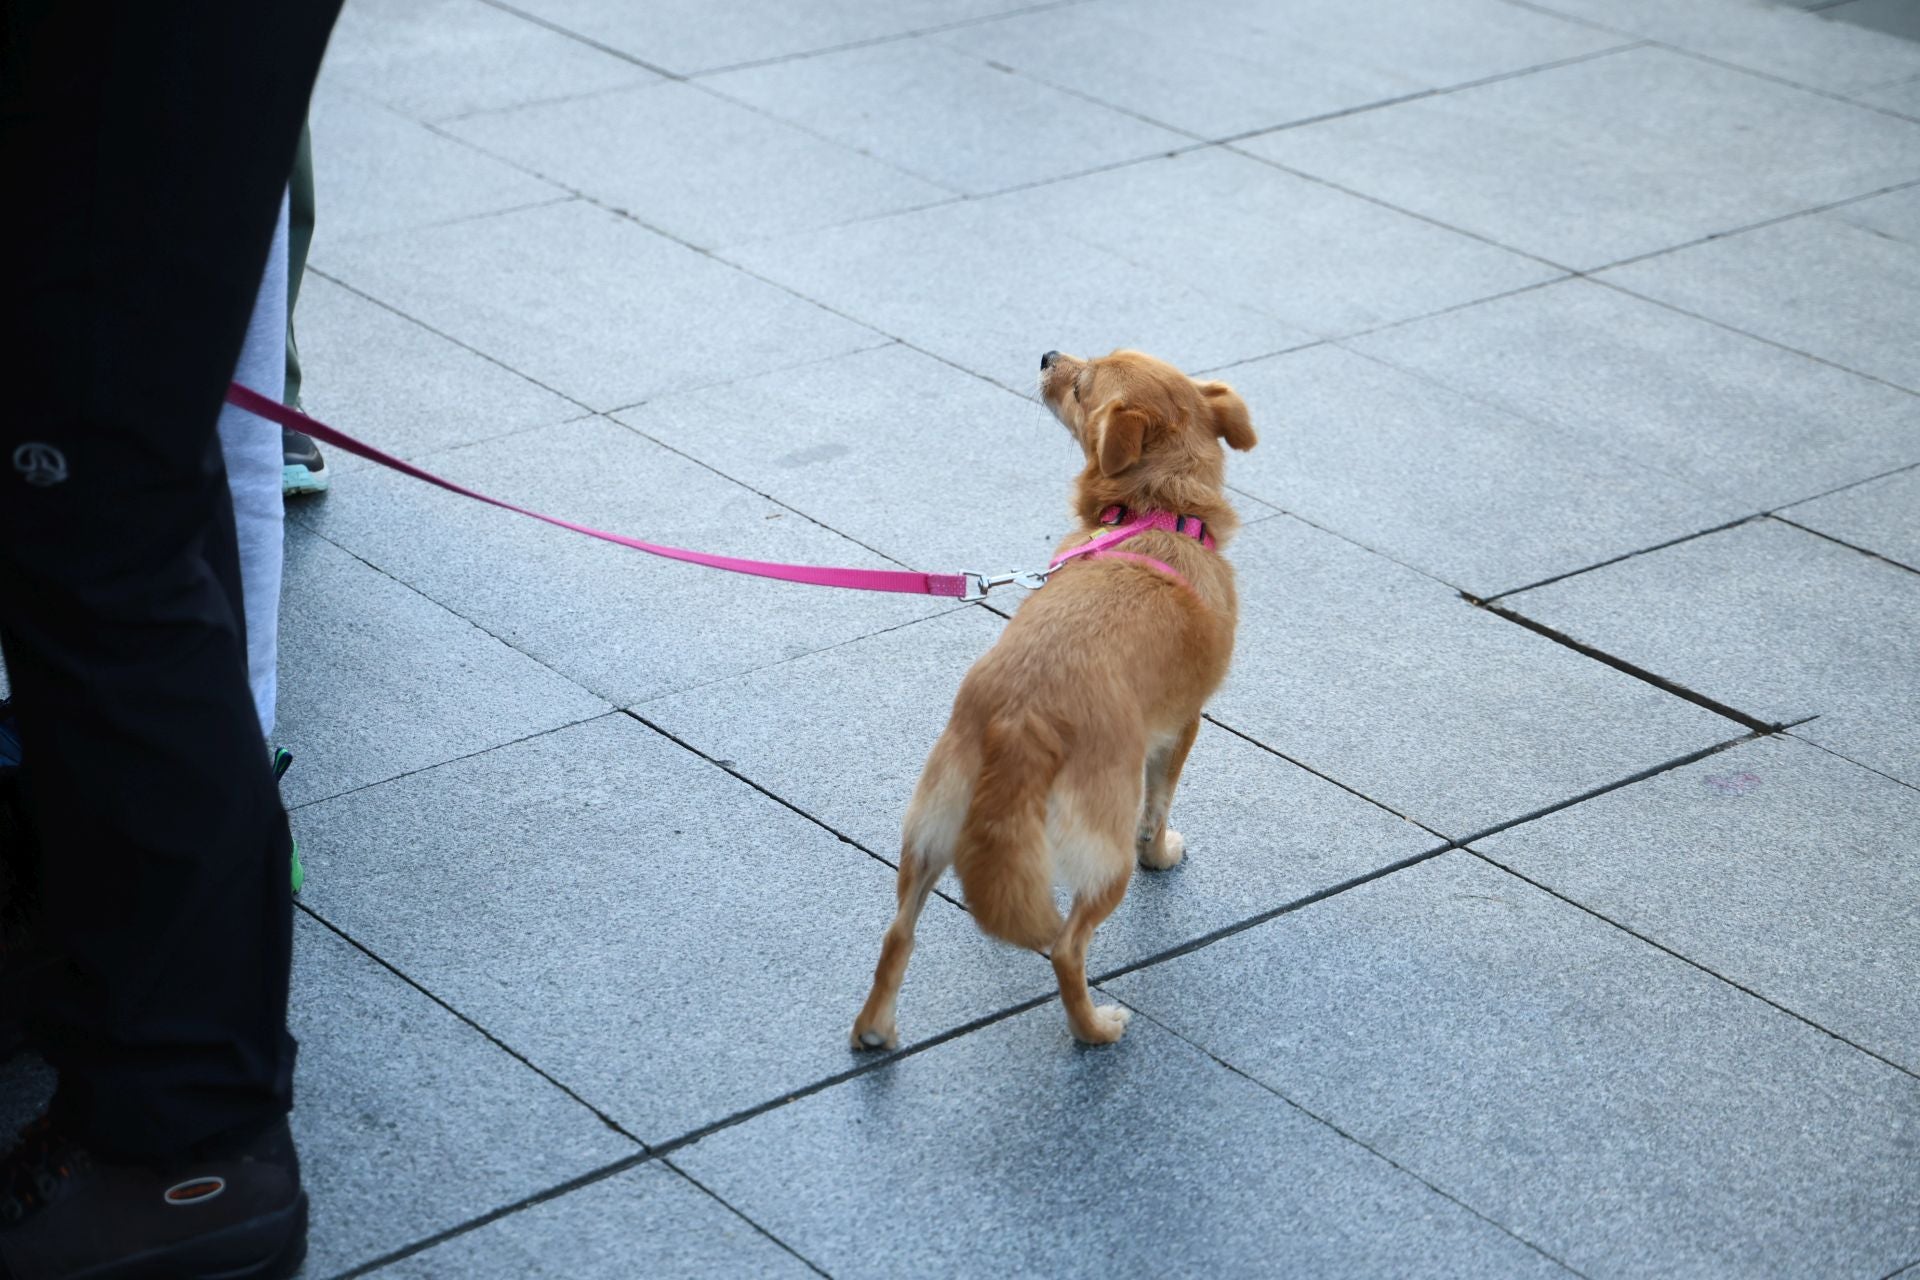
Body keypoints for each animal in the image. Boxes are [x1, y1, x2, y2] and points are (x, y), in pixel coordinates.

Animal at [856, 345, 1259, 1043]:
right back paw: (1094, 1028)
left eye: (1080, 383)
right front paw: (1162, 854)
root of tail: (1021, 719)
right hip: (1102, 854)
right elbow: (1159, 808)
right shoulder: (1181, 728)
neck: (1154, 511)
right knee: (1068, 948)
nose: (1047, 354)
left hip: (928, 833)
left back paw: (874, 1029)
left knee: (898, 933)